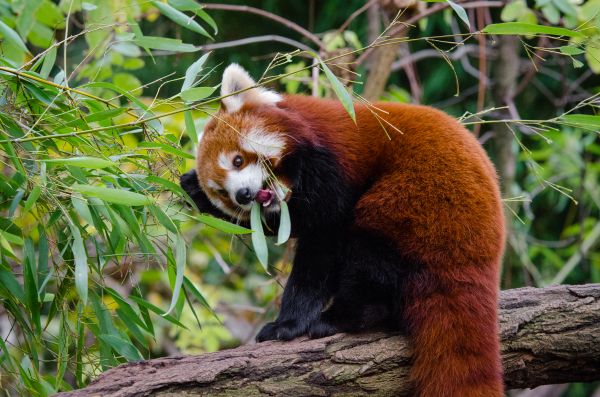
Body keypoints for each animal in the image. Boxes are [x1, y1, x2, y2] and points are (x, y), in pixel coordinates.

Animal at [180, 63, 504, 394]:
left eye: (237, 160)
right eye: (222, 192)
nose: (243, 195)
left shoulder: (333, 168)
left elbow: (320, 247)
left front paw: (288, 324)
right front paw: (193, 188)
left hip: (417, 201)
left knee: (370, 256)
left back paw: (340, 317)